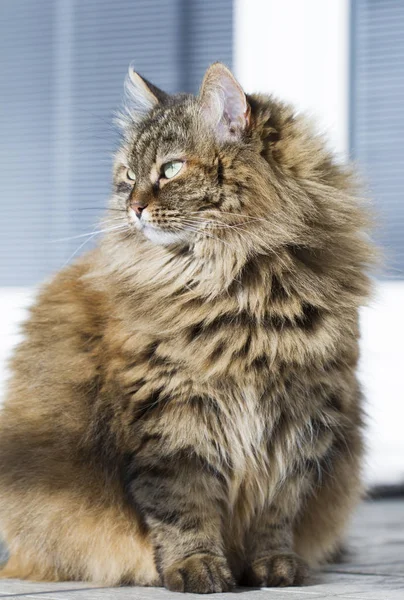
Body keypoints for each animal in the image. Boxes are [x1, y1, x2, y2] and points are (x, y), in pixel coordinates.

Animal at [0, 63, 376, 592]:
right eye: (128, 176)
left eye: (171, 169)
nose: (134, 207)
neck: (238, 288)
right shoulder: (171, 418)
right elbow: (184, 509)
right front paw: (198, 570)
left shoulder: (300, 421)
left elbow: (276, 512)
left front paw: (275, 568)